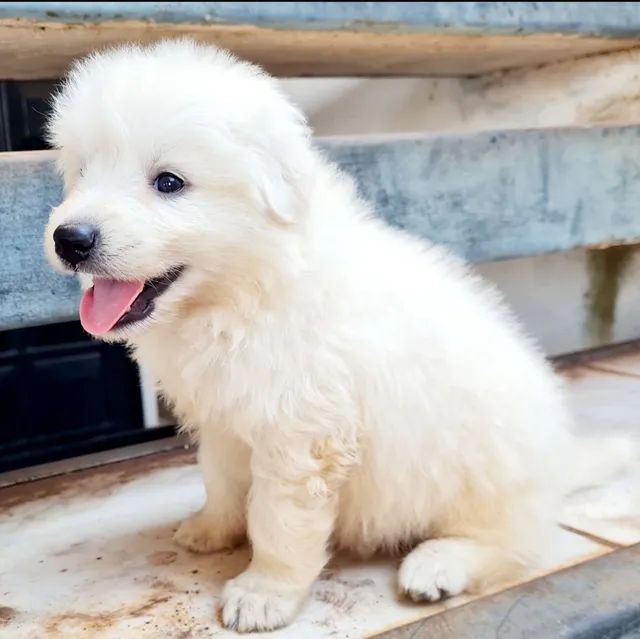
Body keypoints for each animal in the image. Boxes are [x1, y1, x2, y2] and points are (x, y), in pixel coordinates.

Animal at [47, 41, 572, 636]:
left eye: (169, 182)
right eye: (82, 171)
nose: (70, 239)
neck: (241, 296)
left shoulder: (300, 435)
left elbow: (278, 522)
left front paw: (263, 594)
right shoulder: (224, 417)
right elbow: (220, 478)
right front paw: (210, 529)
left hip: (490, 473)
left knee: (514, 543)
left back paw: (437, 565)